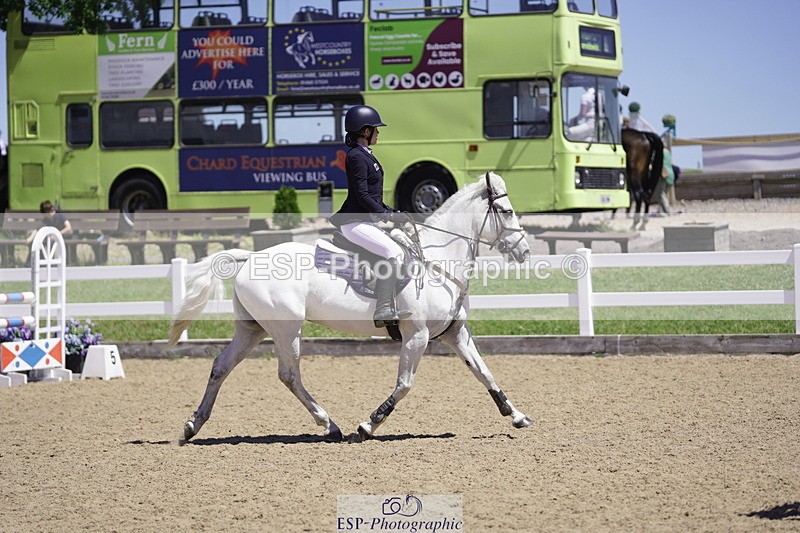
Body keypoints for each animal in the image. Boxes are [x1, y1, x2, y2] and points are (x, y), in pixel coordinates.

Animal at [168, 172, 534, 442]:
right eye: (506, 211)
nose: (525, 252)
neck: (438, 262)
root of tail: (251, 257)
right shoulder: (416, 335)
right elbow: (405, 384)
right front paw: (370, 424)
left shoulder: (455, 333)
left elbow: (484, 372)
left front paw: (516, 415)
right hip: (287, 330)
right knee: (289, 374)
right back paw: (329, 425)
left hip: (253, 329)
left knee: (221, 365)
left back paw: (193, 424)